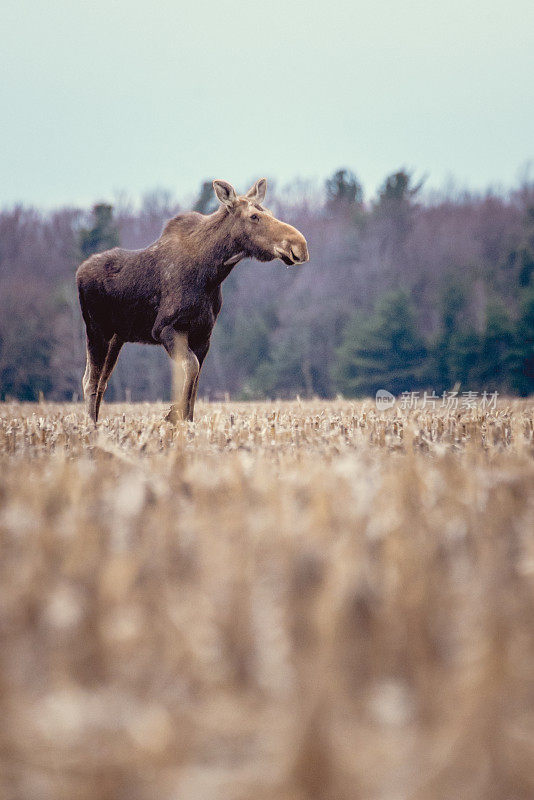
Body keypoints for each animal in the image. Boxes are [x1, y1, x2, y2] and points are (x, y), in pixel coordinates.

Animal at [76, 177, 310, 422]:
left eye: (269, 212)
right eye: (254, 216)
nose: (299, 245)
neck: (211, 274)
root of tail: (79, 272)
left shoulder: (202, 335)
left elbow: (195, 385)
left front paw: (185, 419)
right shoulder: (165, 328)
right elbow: (191, 368)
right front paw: (173, 414)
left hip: (117, 337)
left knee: (101, 380)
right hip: (97, 330)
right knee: (90, 380)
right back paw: (91, 425)